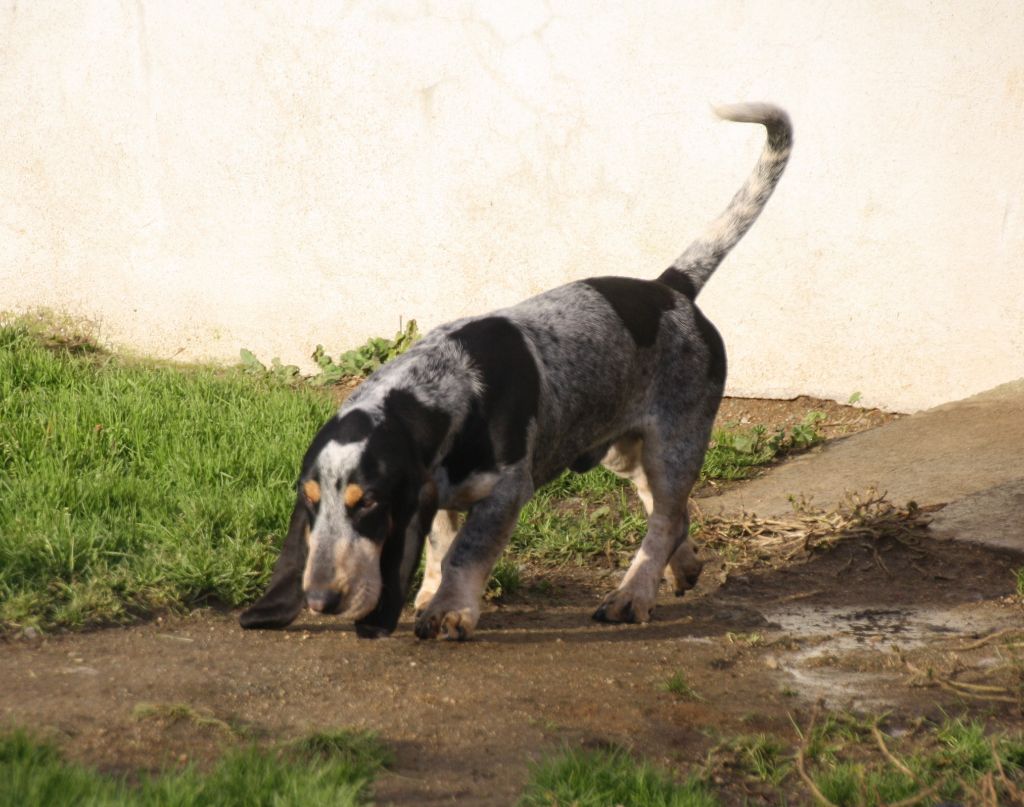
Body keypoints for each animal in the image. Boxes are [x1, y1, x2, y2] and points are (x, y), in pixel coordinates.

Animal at [239, 103, 790, 639]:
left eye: (368, 503)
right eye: (311, 502)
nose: (319, 600)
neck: (444, 391)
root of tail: (671, 287)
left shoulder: (505, 491)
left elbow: (464, 552)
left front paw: (449, 611)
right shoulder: (435, 496)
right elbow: (440, 545)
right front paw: (429, 595)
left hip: (675, 442)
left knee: (665, 521)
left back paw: (632, 596)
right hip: (625, 451)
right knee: (668, 511)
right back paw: (681, 569)